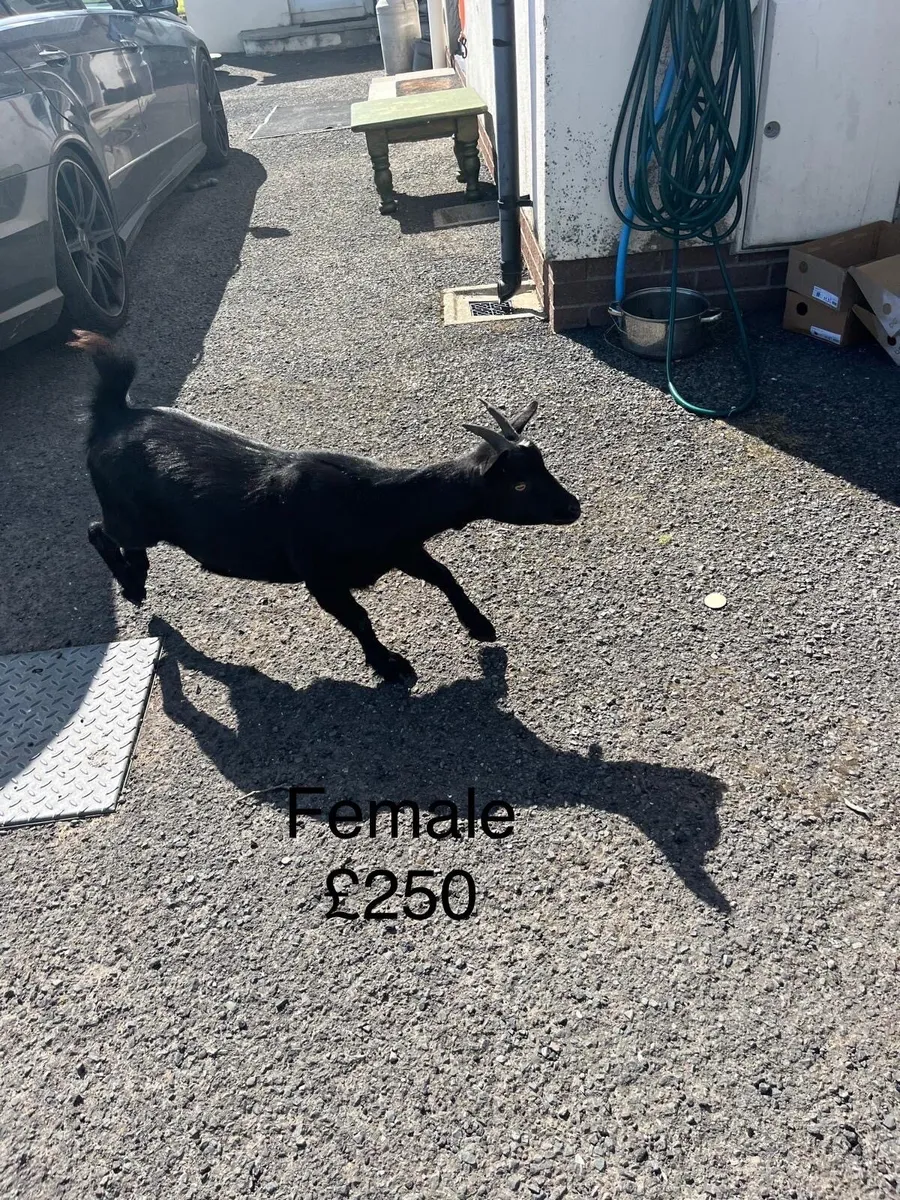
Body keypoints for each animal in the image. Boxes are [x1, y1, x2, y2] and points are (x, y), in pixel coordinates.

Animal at [71, 331, 581, 682]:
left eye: (543, 465)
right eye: (519, 486)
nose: (573, 508)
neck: (376, 500)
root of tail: (114, 415)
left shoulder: (401, 549)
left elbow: (442, 575)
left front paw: (480, 626)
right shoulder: (321, 578)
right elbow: (358, 617)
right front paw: (390, 666)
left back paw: (137, 581)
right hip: (131, 516)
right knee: (99, 531)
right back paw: (134, 586)